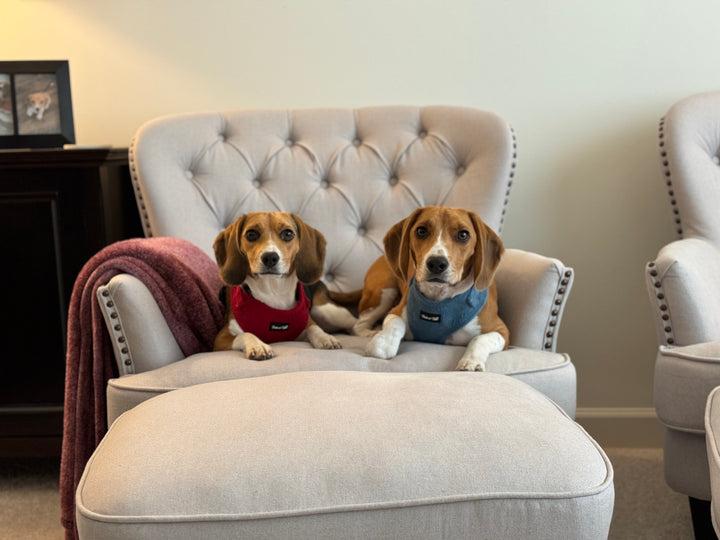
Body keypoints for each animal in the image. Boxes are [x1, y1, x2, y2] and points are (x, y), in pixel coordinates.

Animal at [211, 211, 348, 358]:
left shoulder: (306, 323)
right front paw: (258, 345)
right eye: (251, 234)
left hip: (327, 311)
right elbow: (246, 334)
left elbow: (314, 327)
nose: (270, 257)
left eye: (288, 234)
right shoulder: (220, 339)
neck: (273, 290)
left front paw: (325, 337)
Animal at [356, 206, 512, 372]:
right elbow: (396, 323)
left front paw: (471, 361)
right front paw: (383, 345)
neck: (439, 297)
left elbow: (480, 338)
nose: (436, 263)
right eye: (421, 231)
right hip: (384, 293)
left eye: (463, 234)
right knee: (358, 324)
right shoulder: (395, 311)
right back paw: (370, 332)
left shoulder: (501, 330)